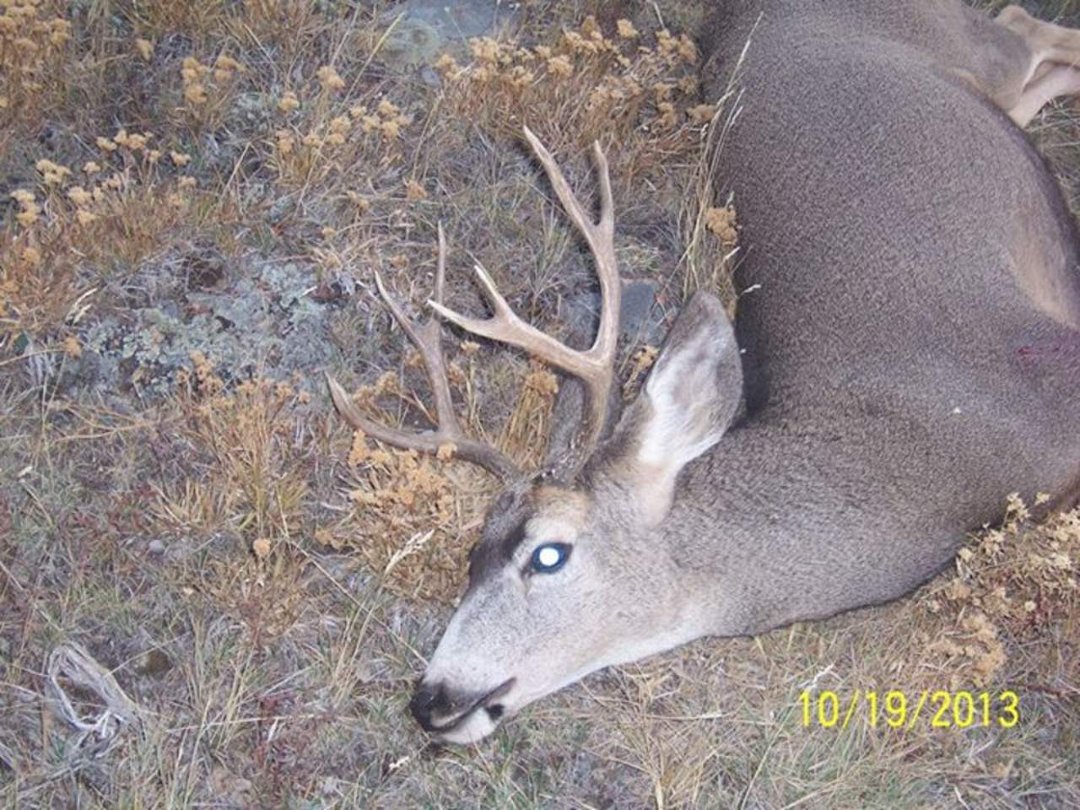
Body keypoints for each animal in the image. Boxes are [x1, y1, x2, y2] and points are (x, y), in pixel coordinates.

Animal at [327, 1, 1080, 744]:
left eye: (547, 553)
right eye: (470, 556)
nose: (432, 697)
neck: (924, 457)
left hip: (971, 44)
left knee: (1031, 28)